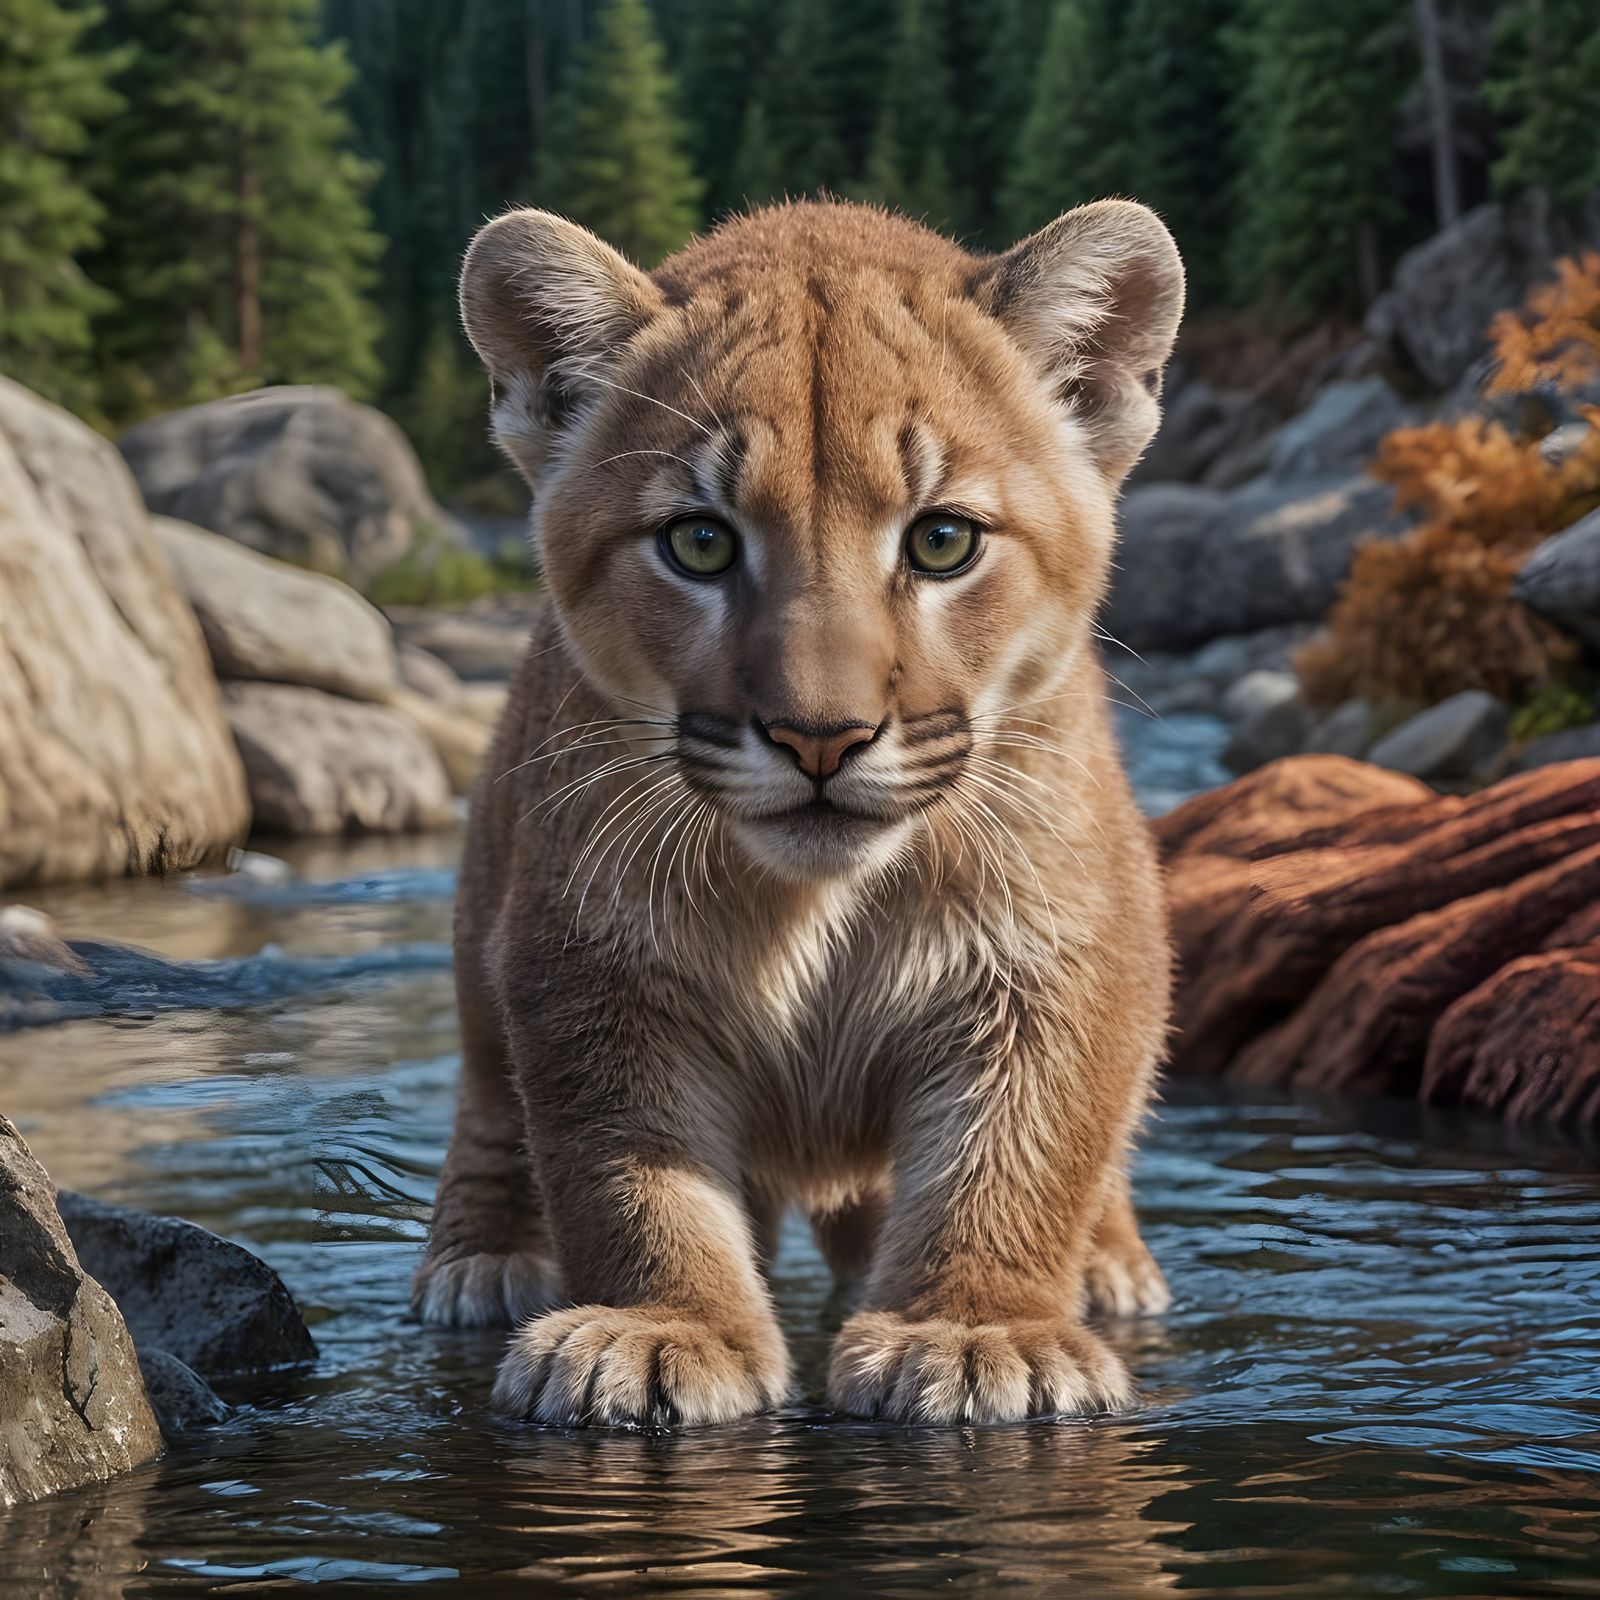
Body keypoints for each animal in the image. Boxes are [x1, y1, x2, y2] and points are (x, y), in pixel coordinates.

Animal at [412, 198, 1182, 1427]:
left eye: (943, 540)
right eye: (700, 541)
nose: (821, 736)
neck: (819, 902)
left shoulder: (1060, 955)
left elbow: (1017, 1151)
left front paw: (975, 1332)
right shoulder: (588, 964)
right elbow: (624, 1170)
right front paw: (663, 1328)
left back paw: (1107, 1264)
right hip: (485, 906)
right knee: (490, 1097)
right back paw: (484, 1261)